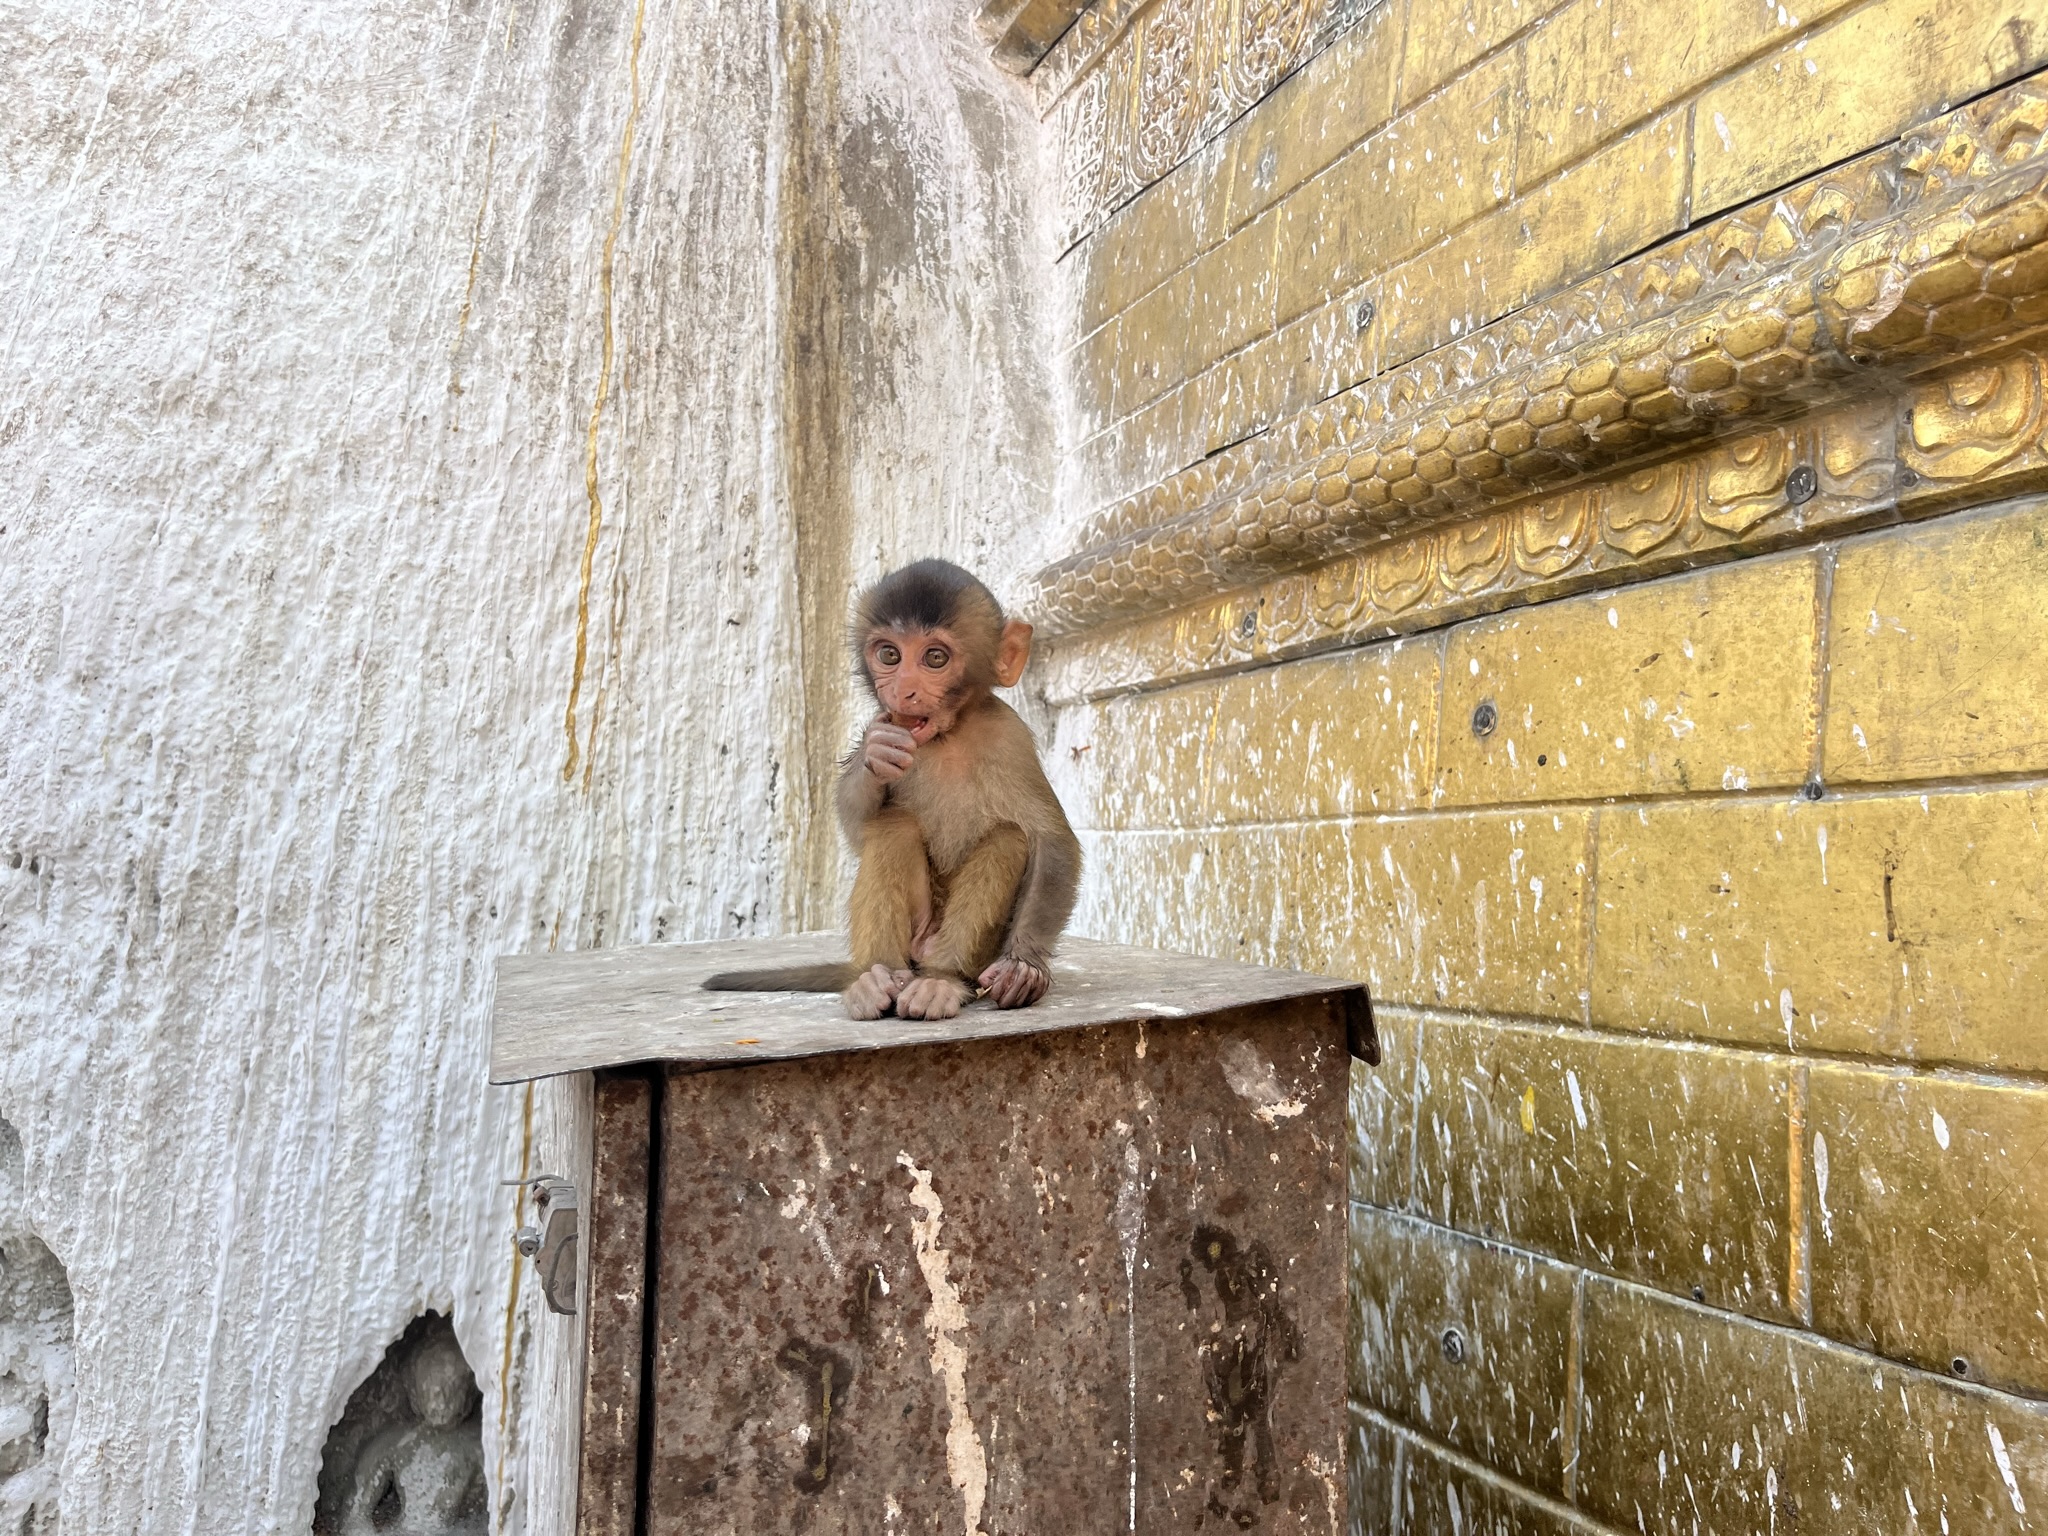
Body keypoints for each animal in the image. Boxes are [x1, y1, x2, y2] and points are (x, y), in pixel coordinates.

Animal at [704, 559, 1083, 1022]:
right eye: (889, 655)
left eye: (935, 658)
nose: (903, 690)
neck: (948, 735)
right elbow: (858, 829)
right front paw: (875, 753)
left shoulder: (1008, 736)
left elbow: (1053, 841)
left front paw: (1024, 966)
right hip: (910, 941)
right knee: (891, 824)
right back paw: (874, 979)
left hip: (972, 953)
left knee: (1008, 838)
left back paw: (941, 980)